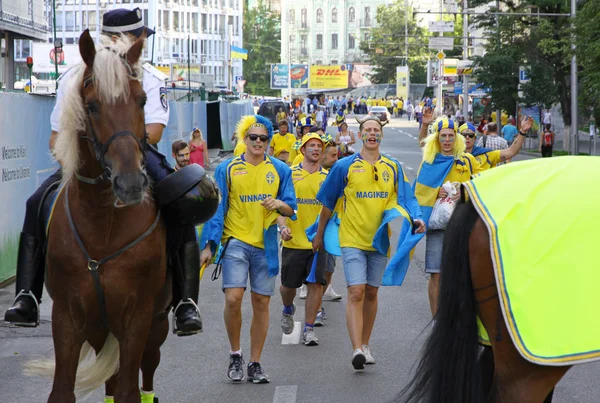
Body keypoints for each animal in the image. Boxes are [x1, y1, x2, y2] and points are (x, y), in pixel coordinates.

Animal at [25, 30, 170, 402]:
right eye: (91, 106)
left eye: (142, 101)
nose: (130, 183)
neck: (104, 226)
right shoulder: (68, 318)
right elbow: (63, 390)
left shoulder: (137, 318)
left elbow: (129, 391)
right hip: (100, 329)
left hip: (155, 326)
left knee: (146, 371)